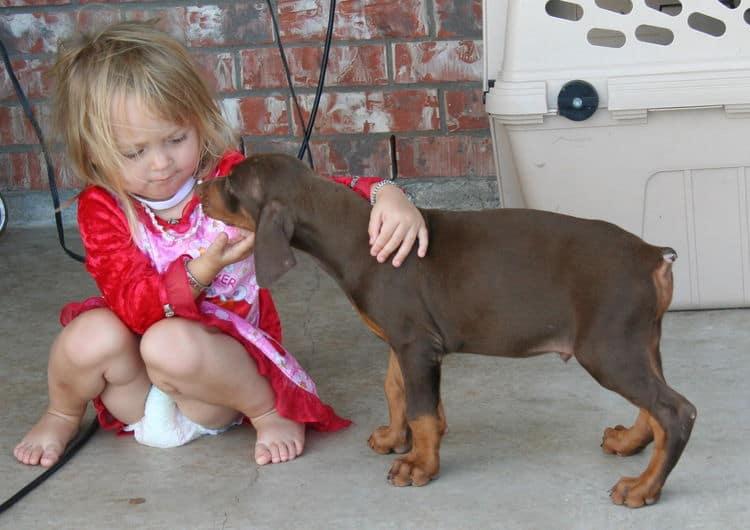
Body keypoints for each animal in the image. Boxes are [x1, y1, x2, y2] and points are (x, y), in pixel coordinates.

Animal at [198, 152, 700, 504]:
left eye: (231, 183)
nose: (200, 185)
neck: (355, 237)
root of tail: (652, 255)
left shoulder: (417, 344)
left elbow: (419, 408)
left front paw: (419, 465)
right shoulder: (406, 342)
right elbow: (399, 391)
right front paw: (396, 439)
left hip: (607, 348)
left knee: (675, 411)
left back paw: (643, 489)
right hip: (639, 342)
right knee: (654, 406)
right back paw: (631, 443)